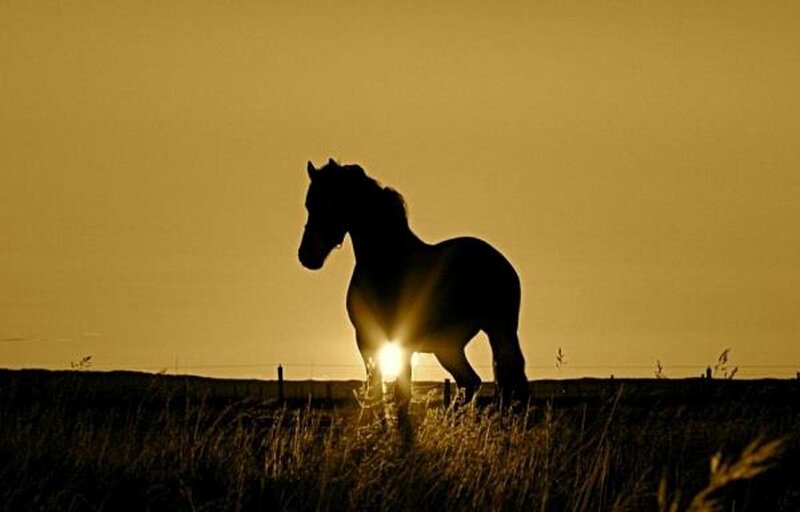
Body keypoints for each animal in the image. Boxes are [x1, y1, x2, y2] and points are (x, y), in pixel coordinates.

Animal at [298, 159, 530, 407]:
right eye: (308, 205)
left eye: (331, 202)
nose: (307, 255)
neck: (388, 265)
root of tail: (501, 262)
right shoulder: (366, 341)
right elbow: (376, 393)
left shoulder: (404, 342)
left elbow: (402, 394)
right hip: (448, 346)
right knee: (471, 382)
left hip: (499, 331)